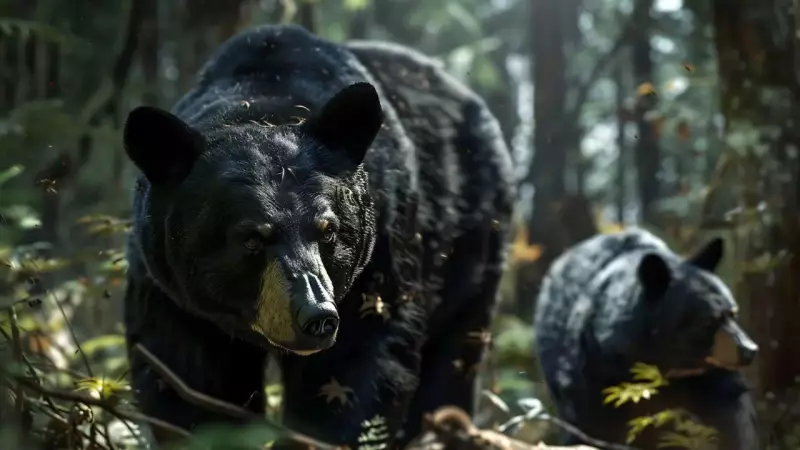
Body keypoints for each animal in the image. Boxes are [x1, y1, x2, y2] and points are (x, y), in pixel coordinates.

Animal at [121, 24, 515, 449]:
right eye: (251, 238)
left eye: (328, 231)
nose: (316, 316)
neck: (262, 101)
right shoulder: (170, 290)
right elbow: (186, 379)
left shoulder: (381, 255)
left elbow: (354, 369)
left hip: (474, 237)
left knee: (455, 350)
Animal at [533, 228, 759, 450]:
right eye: (707, 320)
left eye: (733, 312)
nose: (749, 350)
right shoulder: (595, 368)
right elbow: (592, 420)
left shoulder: (712, 375)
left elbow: (729, 414)